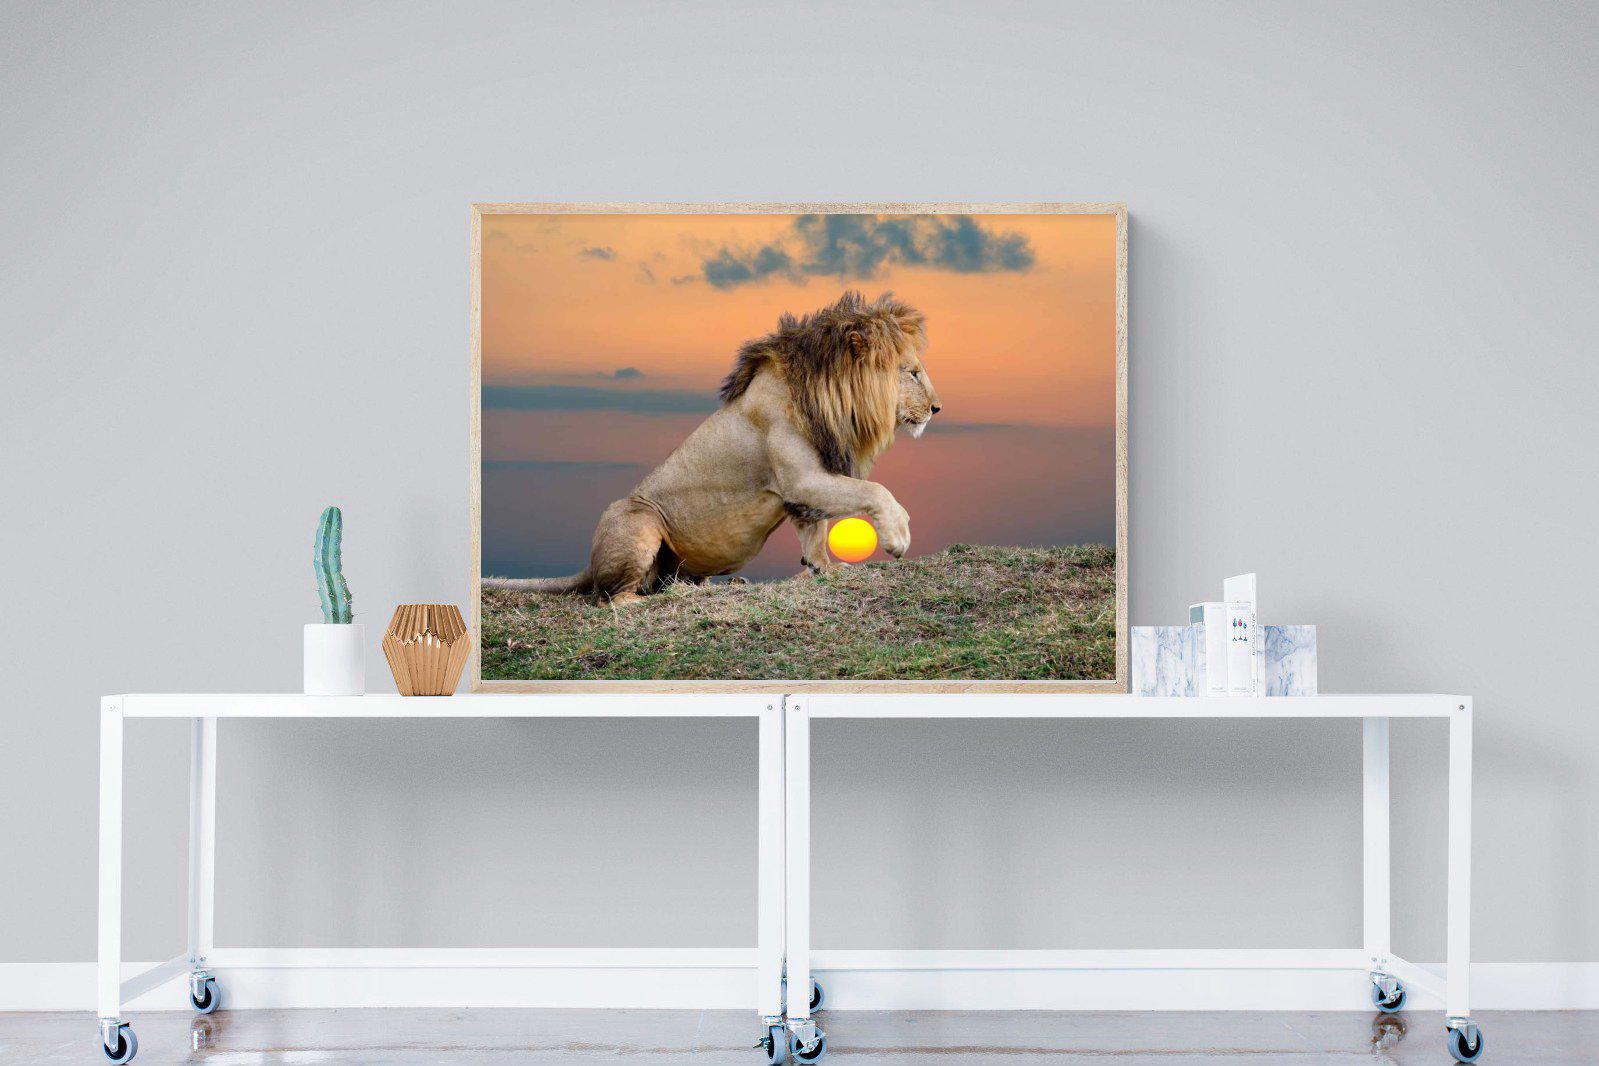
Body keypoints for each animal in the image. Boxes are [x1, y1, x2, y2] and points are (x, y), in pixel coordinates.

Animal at [484, 291, 941, 605]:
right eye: (913, 372)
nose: (937, 408)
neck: (831, 398)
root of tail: (590, 563)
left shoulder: (804, 489)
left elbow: (814, 535)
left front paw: (822, 570)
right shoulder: (802, 478)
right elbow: (874, 491)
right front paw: (898, 535)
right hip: (637, 518)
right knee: (614, 598)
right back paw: (671, 597)